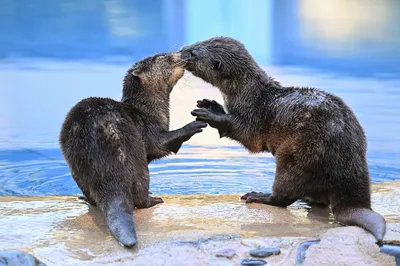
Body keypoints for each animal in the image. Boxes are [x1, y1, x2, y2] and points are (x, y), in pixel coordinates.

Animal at [60, 52, 209, 247]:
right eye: (161, 57)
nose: (180, 53)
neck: (148, 110)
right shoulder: (149, 129)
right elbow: (160, 145)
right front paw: (195, 124)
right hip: (138, 163)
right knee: (140, 196)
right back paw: (154, 199)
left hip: (77, 168)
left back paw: (86, 198)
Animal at [182, 36, 388, 244]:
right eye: (196, 43)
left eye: (194, 53)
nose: (182, 50)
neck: (249, 94)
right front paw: (210, 104)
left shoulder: (254, 116)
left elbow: (246, 135)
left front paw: (210, 114)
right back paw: (306, 199)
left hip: (297, 156)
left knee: (284, 196)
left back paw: (259, 196)